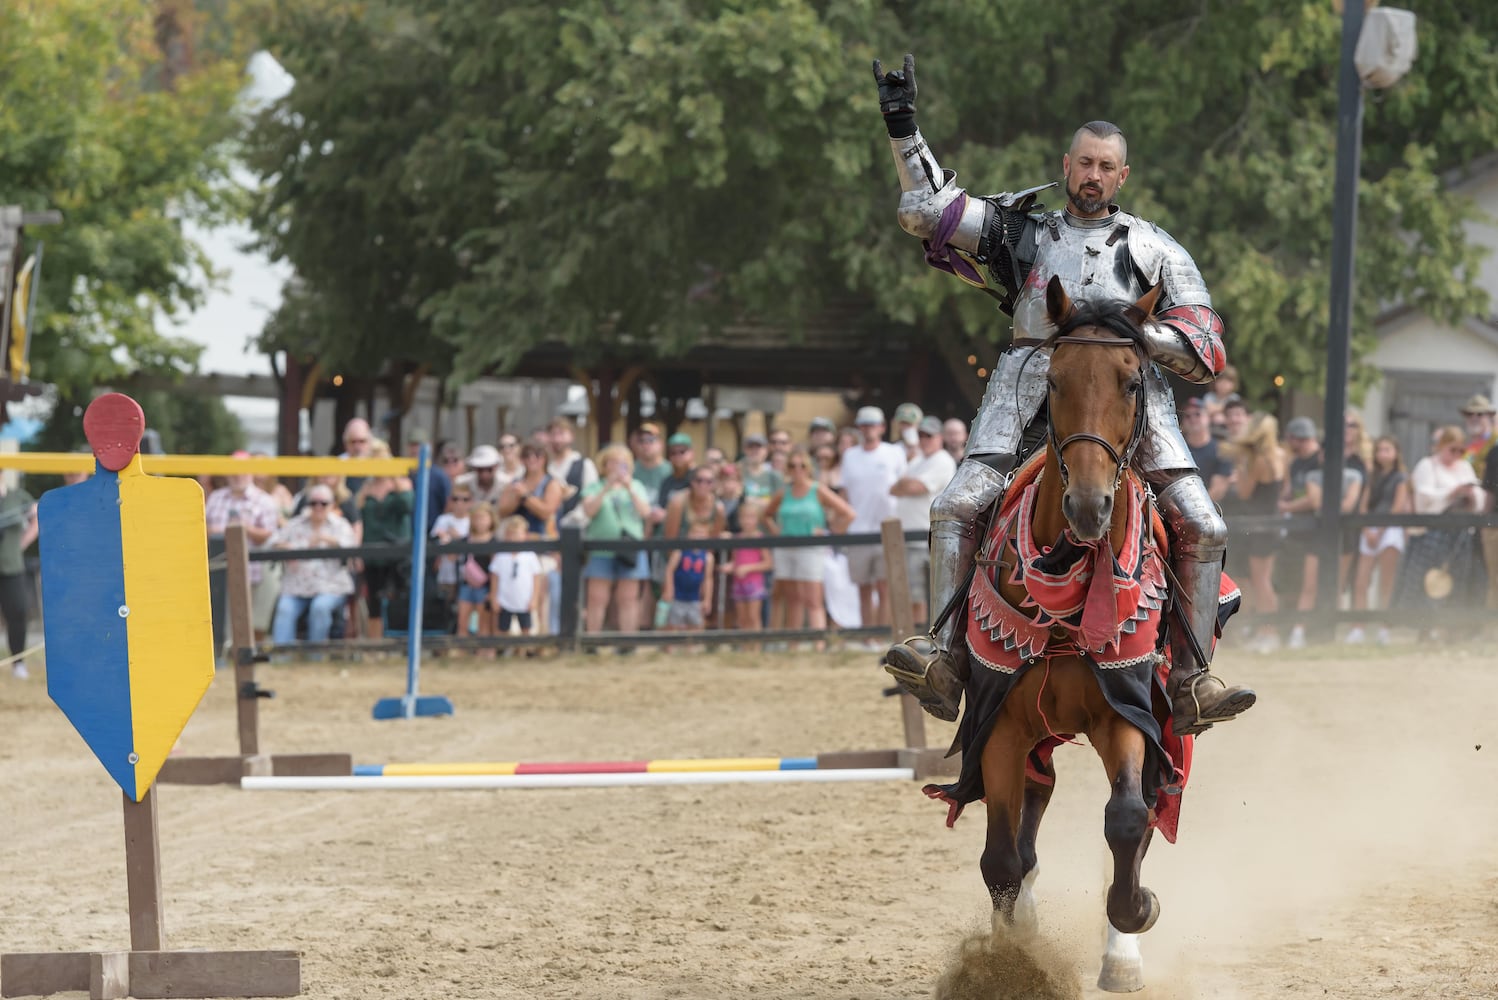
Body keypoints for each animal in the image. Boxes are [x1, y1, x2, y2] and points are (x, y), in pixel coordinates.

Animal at [970, 273, 1180, 994]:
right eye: (1055, 380)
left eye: (1133, 382)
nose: (1089, 507)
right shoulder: (1002, 724)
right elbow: (1001, 860)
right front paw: (1012, 959)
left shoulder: (1128, 714)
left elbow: (1127, 821)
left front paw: (1134, 919)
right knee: (1030, 814)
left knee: (1142, 815)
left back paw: (1122, 950)